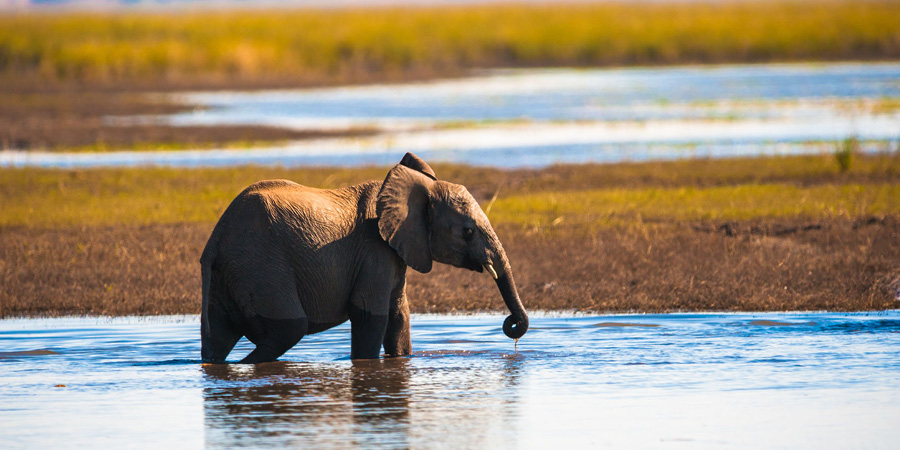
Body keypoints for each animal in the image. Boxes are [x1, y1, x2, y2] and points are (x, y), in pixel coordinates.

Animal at [200, 152, 528, 363]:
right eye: (468, 231)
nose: (510, 325)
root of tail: (217, 238)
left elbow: (399, 317)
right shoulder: (374, 250)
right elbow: (371, 315)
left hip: (230, 272)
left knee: (218, 338)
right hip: (261, 266)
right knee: (289, 329)